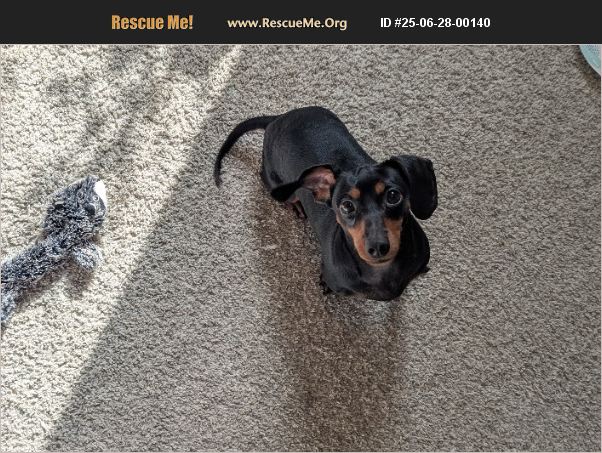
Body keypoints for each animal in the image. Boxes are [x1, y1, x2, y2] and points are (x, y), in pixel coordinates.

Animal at [214, 106, 437, 300]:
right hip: (277, 184)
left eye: (393, 196)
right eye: (346, 205)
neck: (381, 272)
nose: (378, 247)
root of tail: (278, 118)